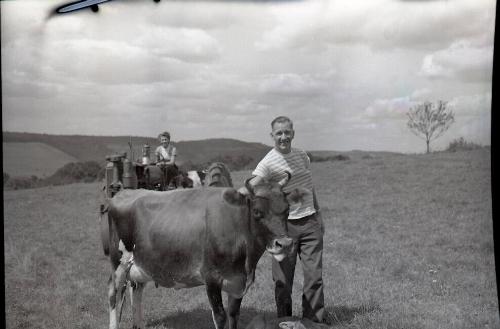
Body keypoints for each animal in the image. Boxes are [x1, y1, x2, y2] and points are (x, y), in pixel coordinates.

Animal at [107, 174, 306, 328]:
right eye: (257, 212)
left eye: (287, 209)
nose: (285, 244)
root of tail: (124, 192)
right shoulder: (211, 277)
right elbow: (220, 317)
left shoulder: (237, 282)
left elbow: (233, 316)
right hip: (119, 263)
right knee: (113, 293)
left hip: (141, 264)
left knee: (136, 292)